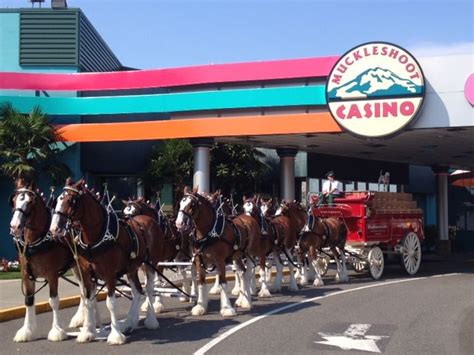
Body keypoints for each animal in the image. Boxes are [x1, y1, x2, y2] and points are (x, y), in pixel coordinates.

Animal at [8, 179, 74, 344]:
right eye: (14, 200)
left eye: (30, 202)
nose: (15, 226)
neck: (35, 240)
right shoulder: (26, 275)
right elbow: (29, 300)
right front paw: (27, 331)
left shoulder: (52, 274)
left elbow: (54, 301)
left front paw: (57, 331)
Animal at [50, 179, 165, 346]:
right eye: (58, 199)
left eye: (71, 201)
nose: (55, 228)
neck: (95, 238)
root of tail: (149, 220)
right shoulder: (86, 274)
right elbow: (89, 301)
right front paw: (87, 332)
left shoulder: (110, 275)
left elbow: (110, 303)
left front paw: (115, 335)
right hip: (131, 268)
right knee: (137, 291)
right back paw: (129, 323)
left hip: (150, 264)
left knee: (149, 289)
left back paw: (151, 320)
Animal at [176, 188, 260, 318]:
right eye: (181, 202)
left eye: (192, 204)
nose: (179, 223)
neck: (208, 233)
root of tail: (248, 218)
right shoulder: (199, 260)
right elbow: (201, 282)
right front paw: (200, 306)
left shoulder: (220, 261)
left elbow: (223, 282)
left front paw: (226, 308)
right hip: (237, 257)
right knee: (242, 273)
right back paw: (241, 299)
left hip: (249, 254)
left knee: (248, 274)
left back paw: (247, 301)